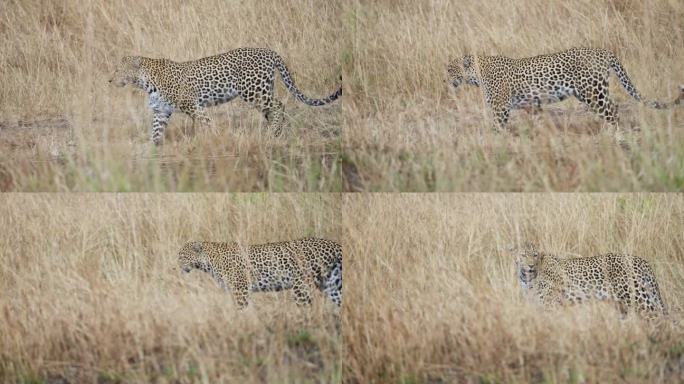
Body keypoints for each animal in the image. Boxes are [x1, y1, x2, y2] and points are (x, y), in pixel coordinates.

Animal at [111, 47, 342, 145]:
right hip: (263, 89)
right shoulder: (161, 112)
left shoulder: (192, 105)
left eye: (118, 71)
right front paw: (152, 150)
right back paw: (274, 133)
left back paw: (273, 133)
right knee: (272, 110)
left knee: (278, 106)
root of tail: (270, 51)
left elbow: (206, 123)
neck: (145, 83)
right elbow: (155, 134)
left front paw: (214, 139)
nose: (110, 81)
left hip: (253, 90)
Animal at [176, 236, 342, 308]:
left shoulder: (240, 289)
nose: (177, 266)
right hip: (333, 284)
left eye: (182, 256)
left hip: (302, 286)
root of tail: (333, 244)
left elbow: (240, 309)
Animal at [446, 47, 680, 132]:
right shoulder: (533, 105)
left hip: (592, 92)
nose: (445, 80)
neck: (478, 75)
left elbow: (497, 127)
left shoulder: (500, 107)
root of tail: (604, 51)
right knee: (613, 109)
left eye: (450, 69)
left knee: (612, 112)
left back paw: (613, 136)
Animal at [516, 242, 664, 316]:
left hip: (638, 298)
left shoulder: (549, 305)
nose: (530, 265)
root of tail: (643, 261)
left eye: (535, 255)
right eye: (523, 255)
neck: (527, 278)